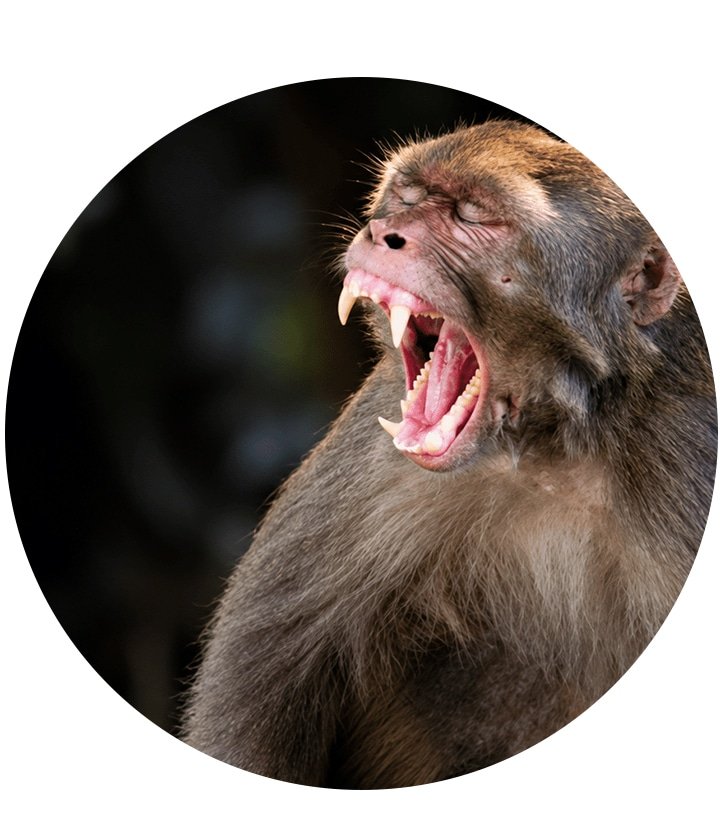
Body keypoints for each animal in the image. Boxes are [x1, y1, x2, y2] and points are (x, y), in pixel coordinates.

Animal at [182, 120, 716, 789]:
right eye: (408, 197)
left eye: (472, 215)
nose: (385, 233)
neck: (554, 451)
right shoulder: (375, 459)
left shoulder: (689, 454)